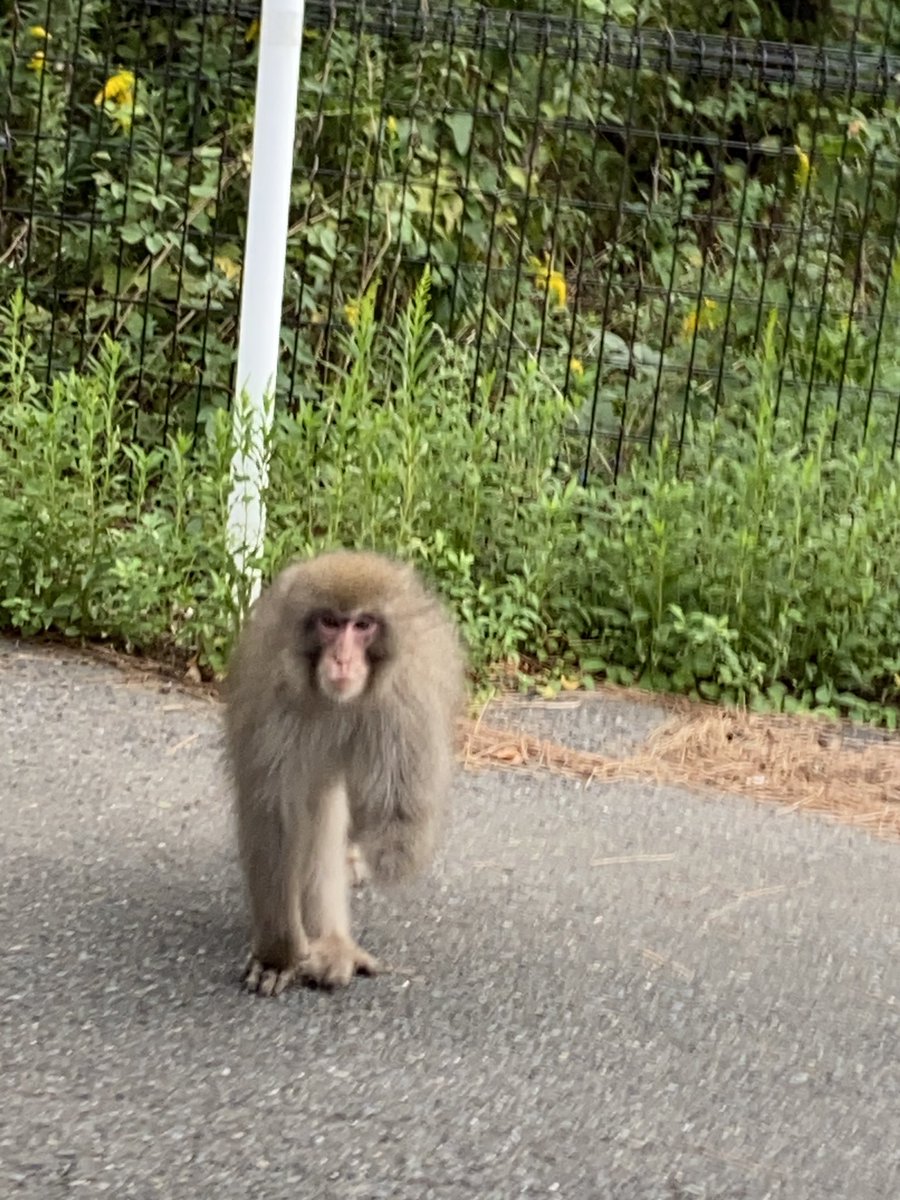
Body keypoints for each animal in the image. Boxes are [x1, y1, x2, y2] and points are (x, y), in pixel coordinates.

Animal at [224, 549, 465, 997]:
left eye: (363, 625)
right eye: (330, 623)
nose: (342, 659)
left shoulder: (405, 706)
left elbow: (400, 812)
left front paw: (382, 856)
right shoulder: (273, 705)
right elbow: (276, 818)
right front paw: (277, 955)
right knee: (320, 800)